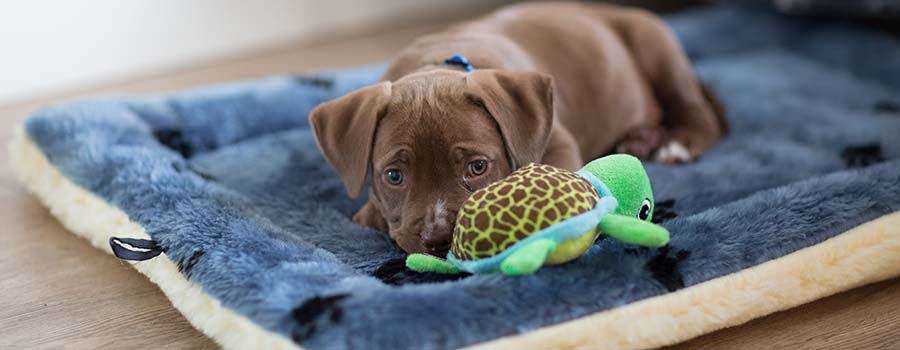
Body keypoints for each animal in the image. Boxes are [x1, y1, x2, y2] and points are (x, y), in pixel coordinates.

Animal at [312, 1, 728, 256]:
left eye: (478, 167)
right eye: (394, 176)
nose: (439, 238)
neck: (437, 66)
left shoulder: (557, 141)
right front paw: (371, 213)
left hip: (655, 42)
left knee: (695, 109)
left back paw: (677, 143)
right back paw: (639, 139)